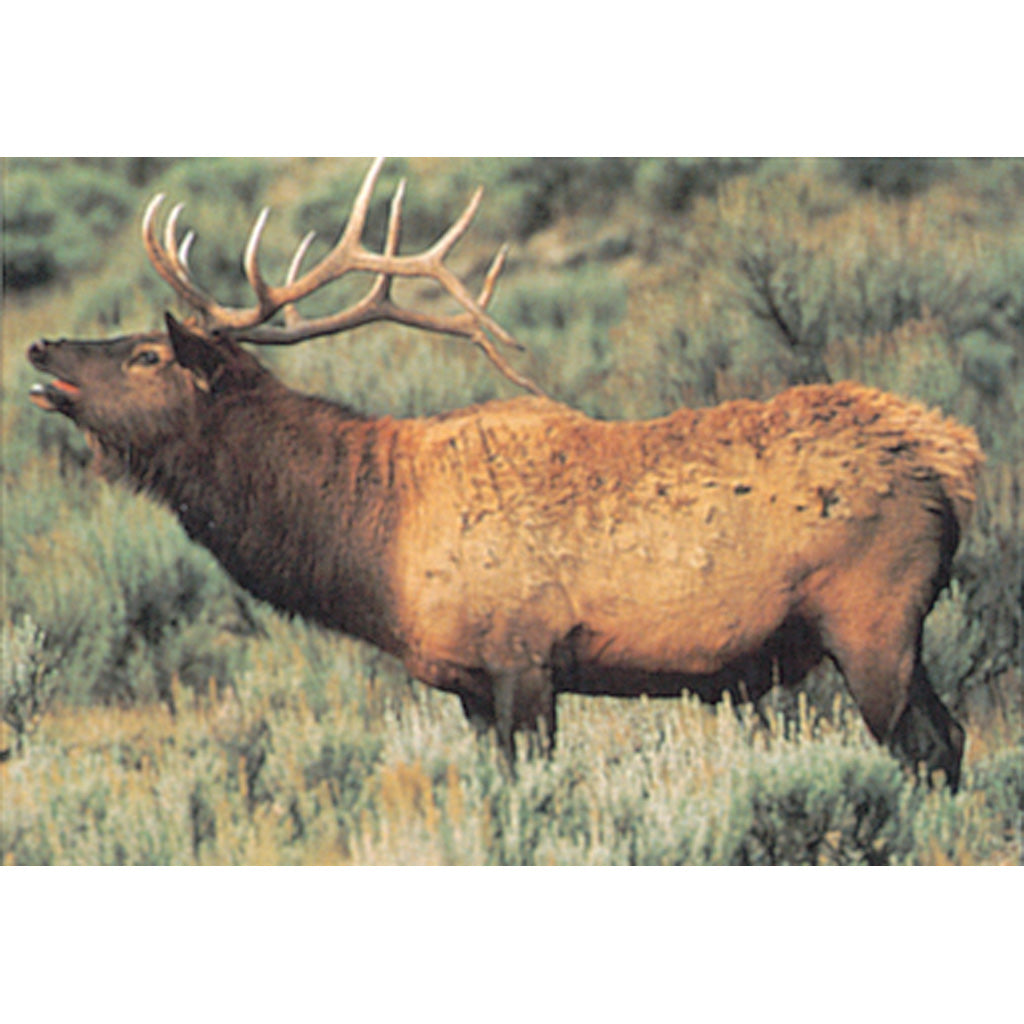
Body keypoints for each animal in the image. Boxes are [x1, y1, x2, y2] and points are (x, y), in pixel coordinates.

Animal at [27, 158, 983, 789]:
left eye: (147, 354)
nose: (40, 346)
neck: (375, 546)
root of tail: (956, 458)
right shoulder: (467, 685)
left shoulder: (525, 656)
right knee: (952, 736)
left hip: (872, 619)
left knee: (928, 746)